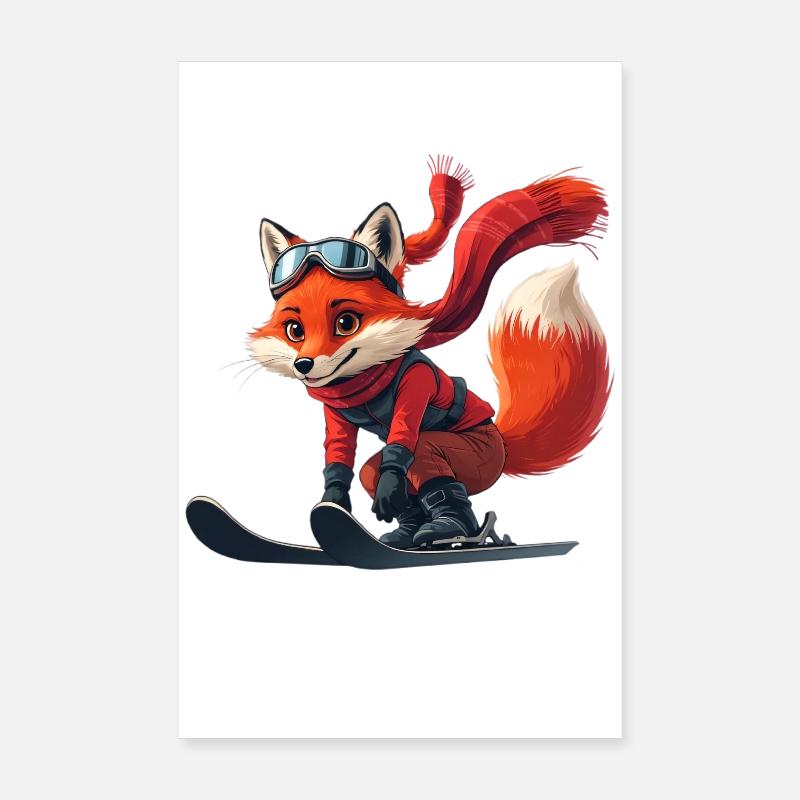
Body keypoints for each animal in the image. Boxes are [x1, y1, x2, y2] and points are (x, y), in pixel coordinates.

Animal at [249, 155, 610, 549]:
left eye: (346, 322)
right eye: (294, 330)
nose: (304, 364)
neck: (365, 380)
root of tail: (502, 443)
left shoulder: (416, 384)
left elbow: (402, 444)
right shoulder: (336, 415)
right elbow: (340, 458)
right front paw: (333, 507)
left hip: (474, 454)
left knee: (422, 458)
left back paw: (454, 529)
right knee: (377, 474)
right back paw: (409, 535)